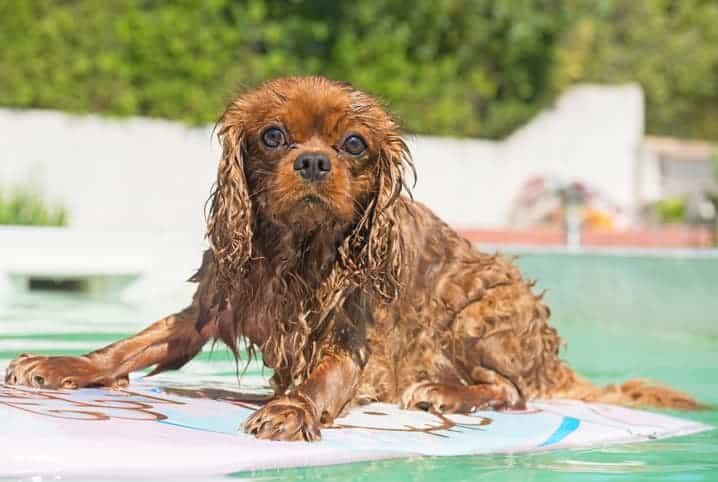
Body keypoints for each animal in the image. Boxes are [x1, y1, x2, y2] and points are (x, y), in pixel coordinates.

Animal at [2, 76, 700, 440]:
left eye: (355, 144)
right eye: (273, 136)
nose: (314, 161)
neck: (297, 251)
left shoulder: (352, 339)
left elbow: (321, 380)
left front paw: (290, 409)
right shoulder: (209, 308)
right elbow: (129, 346)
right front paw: (63, 364)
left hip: (485, 303)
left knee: (516, 391)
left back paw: (444, 392)